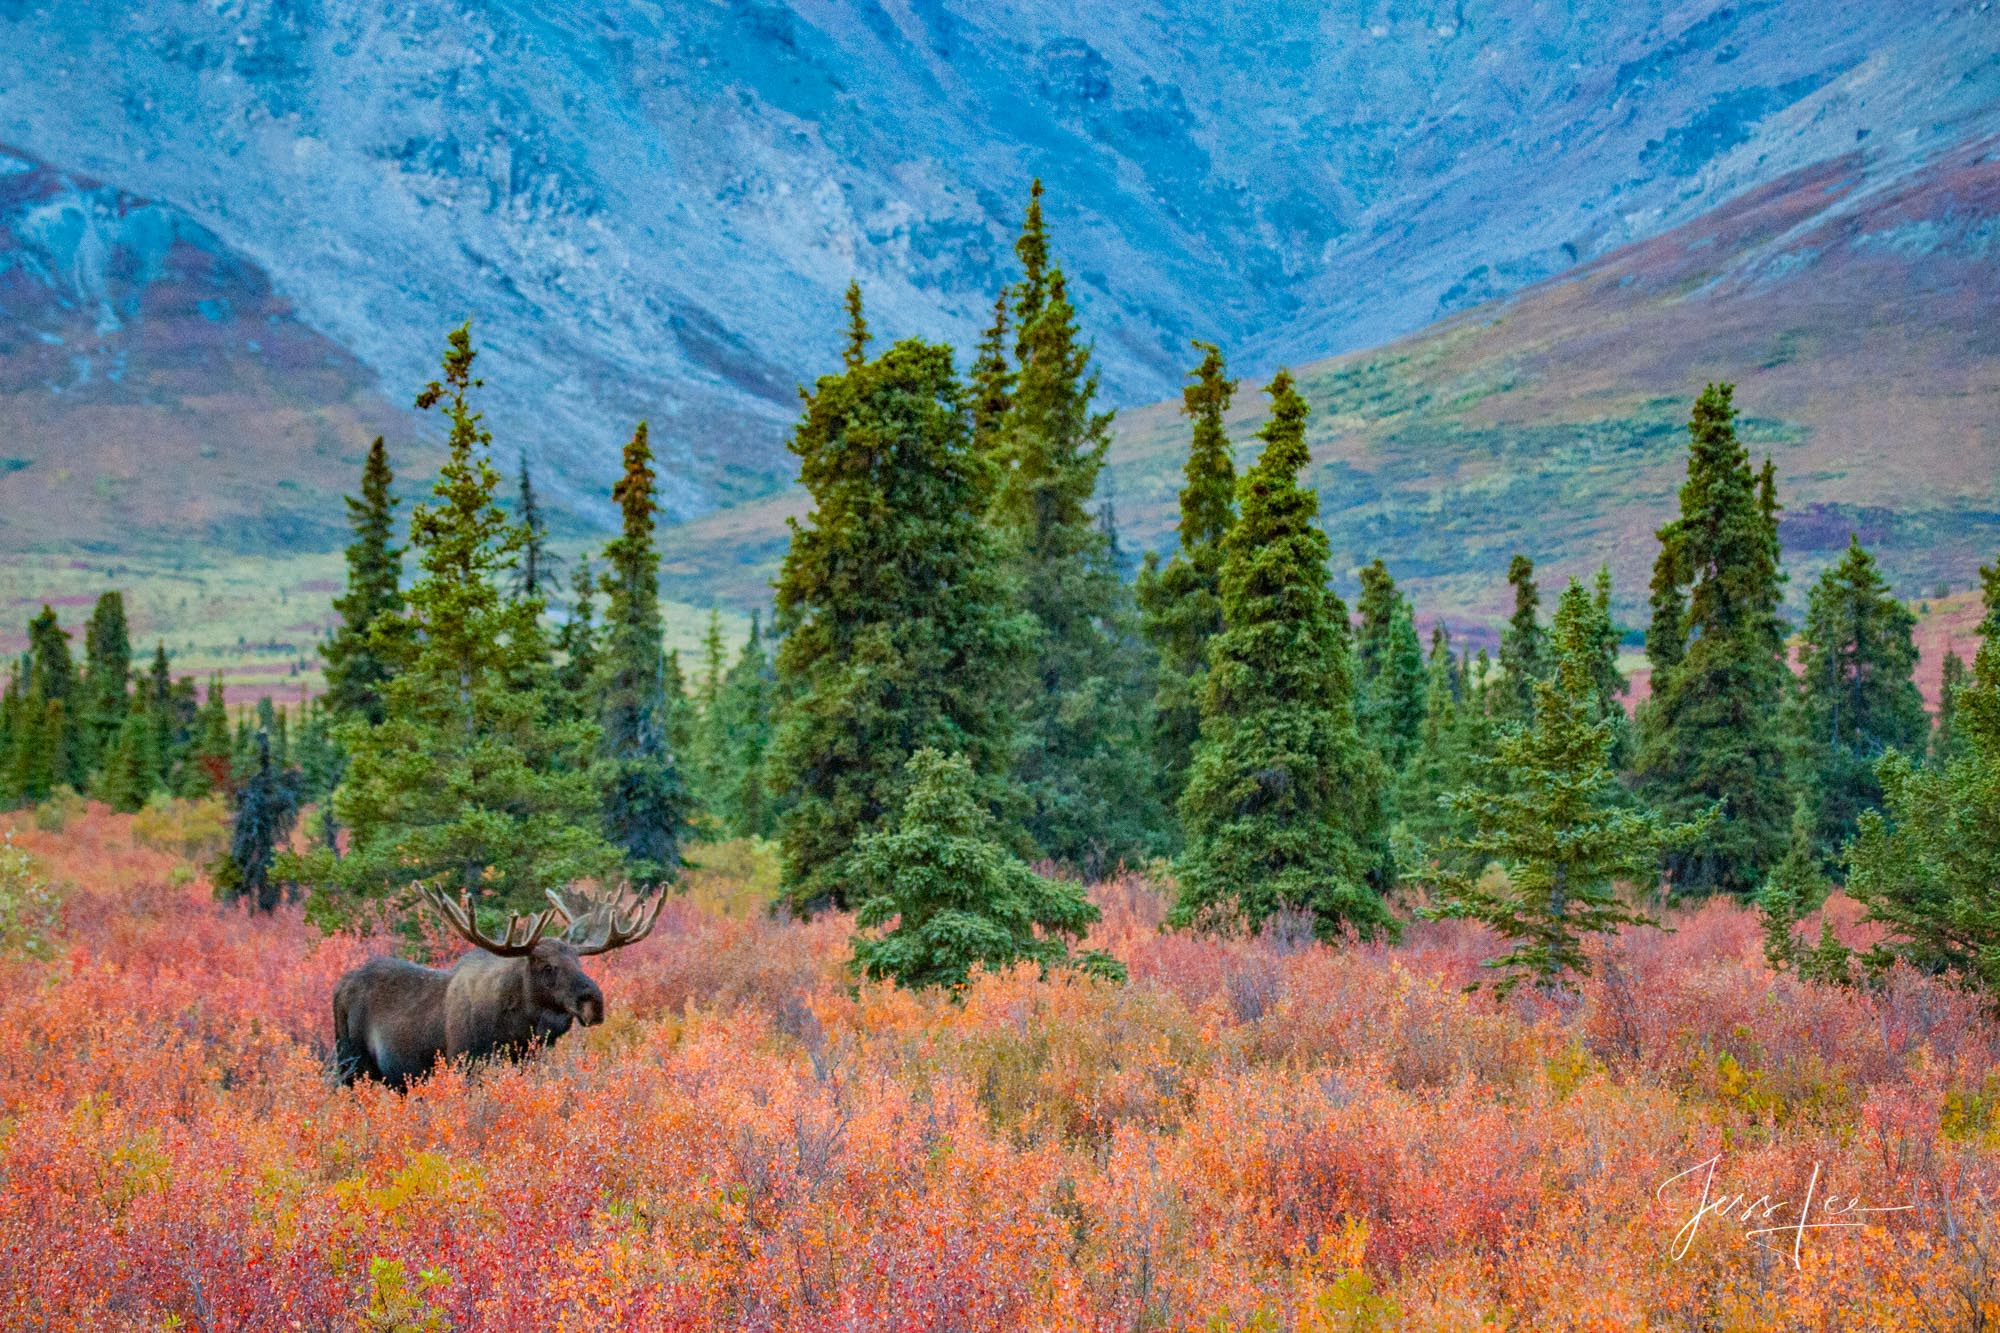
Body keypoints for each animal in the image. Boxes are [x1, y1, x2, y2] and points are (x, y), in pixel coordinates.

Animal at [332, 876, 660, 1088]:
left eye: (579, 962)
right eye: (547, 966)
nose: (594, 1001)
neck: (515, 1028)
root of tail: (340, 986)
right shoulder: (464, 1063)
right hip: (350, 1064)